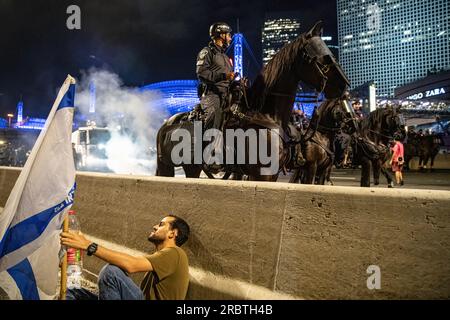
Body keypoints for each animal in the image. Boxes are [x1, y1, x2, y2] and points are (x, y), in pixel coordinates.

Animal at [156, 21, 350, 181]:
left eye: (330, 53)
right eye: (322, 57)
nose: (344, 85)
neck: (266, 115)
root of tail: (168, 123)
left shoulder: (272, 174)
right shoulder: (262, 174)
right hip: (174, 166)